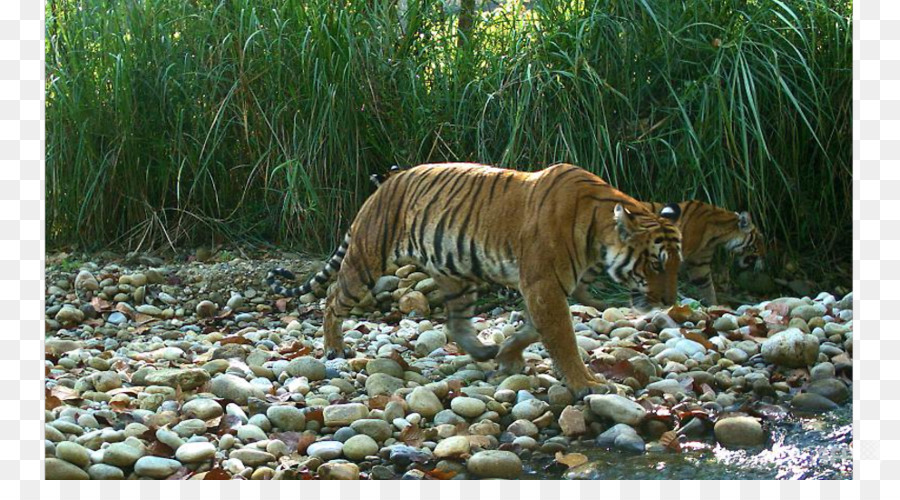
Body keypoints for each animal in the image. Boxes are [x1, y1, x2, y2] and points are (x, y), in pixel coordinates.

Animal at [268, 163, 684, 390]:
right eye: (656, 263)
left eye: (676, 263)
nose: (670, 302)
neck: (597, 234)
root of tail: (384, 184)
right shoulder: (544, 285)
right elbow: (562, 337)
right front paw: (586, 383)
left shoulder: (543, 288)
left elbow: (533, 329)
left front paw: (506, 355)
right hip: (365, 264)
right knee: (331, 299)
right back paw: (334, 347)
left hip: (456, 275)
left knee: (455, 322)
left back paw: (482, 350)